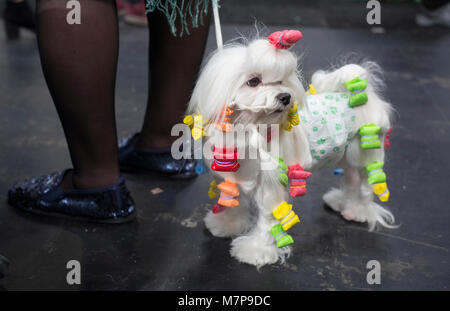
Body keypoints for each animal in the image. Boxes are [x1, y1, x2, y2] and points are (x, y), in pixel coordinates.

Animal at [186, 29, 398, 268]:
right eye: (253, 81)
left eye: (280, 81)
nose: (285, 96)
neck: (251, 129)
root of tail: (360, 93)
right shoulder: (233, 175)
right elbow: (233, 201)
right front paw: (226, 224)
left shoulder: (271, 183)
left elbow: (268, 218)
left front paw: (256, 250)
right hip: (346, 154)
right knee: (351, 179)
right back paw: (344, 204)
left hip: (363, 150)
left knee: (367, 184)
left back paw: (359, 211)